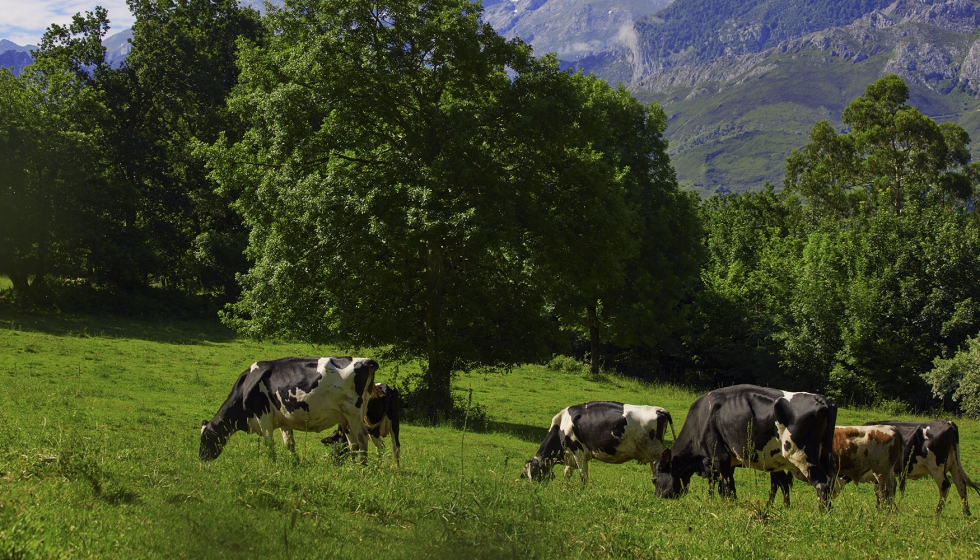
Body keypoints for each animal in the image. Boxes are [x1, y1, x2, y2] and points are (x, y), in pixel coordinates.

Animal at [201, 358, 380, 464]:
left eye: (205, 438)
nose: (201, 458)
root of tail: (365, 361)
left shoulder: (262, 414)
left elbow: (269, 442)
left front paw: (271, 463)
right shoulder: (283, 418)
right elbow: (289, 442)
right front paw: (294, 463)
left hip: (353, 413)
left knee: (362, 438)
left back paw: (362, 467)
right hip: (347, 417)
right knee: (354, 443)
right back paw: (352, 467)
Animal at [520, 400, 672, 484]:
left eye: (536, 474)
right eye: (528, 475)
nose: (535, 490)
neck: (561, 426)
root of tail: (659, 410)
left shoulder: (579, 453)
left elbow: (584, 477)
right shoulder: (570, 456)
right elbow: (566, 474)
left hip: (655, 453)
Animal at [656, 384, 840, 512]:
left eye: (654, 479)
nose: (658, 497)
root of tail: (822, 399)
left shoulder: (718, 458)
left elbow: (726, 487)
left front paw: (727, 505)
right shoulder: (725, 462)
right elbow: (724, 486)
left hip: (800, 455)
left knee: (822, 482)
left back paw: (822, 512)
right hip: (820, 456)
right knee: (830, 482)